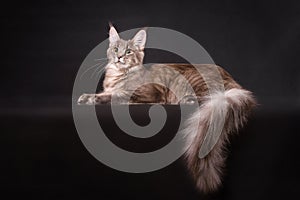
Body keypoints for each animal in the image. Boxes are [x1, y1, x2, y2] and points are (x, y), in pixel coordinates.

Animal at [77, 25, 255, 192]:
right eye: (115, 49)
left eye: (128, 51)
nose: (119, 57)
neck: (116, 76)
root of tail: (233, 80)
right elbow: (109, 93)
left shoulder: (148, 92)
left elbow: (115, 96)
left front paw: (89, 98)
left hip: (193, 80)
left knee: (206, 99)